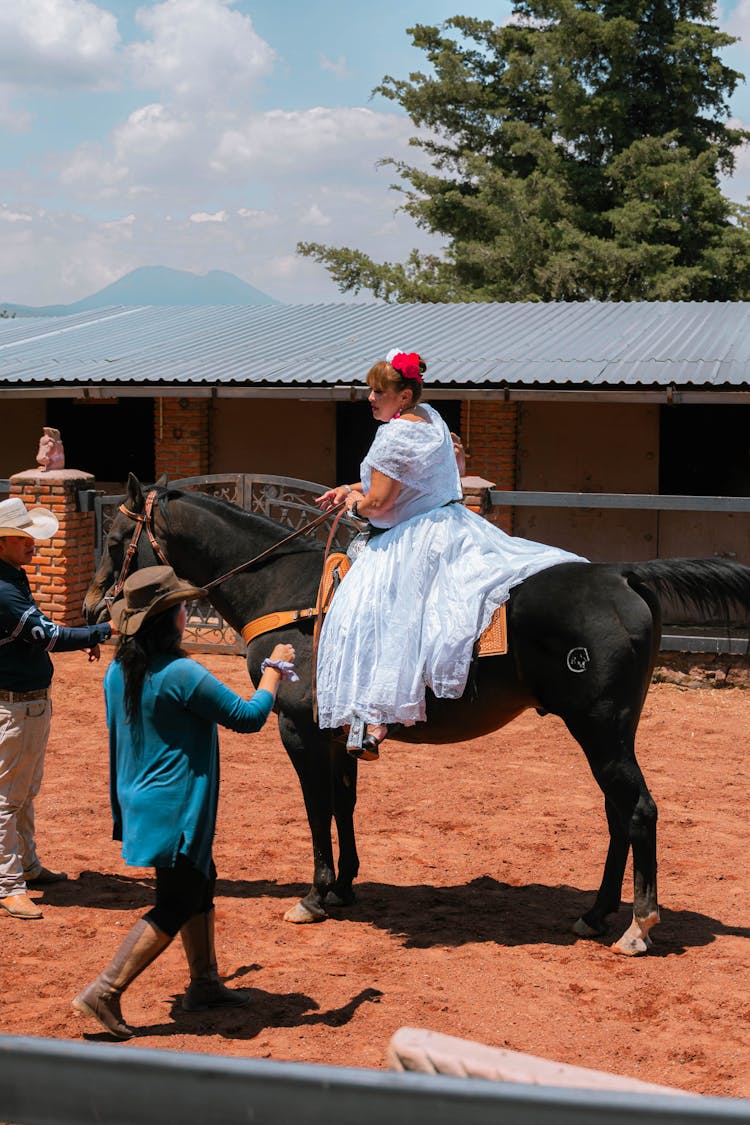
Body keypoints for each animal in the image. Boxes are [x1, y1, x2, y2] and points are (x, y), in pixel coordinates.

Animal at [83, 474, 750, 958]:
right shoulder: (335, 730)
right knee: (618, 814)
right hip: (609, 731)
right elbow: (344, 802)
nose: (93, 607)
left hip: (601, 728)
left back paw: (638, 926)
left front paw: (315, 894)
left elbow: (317, 807)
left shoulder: (298, 729)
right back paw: (595, 913)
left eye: (116, 542)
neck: (288, 591)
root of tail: (621, 572)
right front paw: (345, 885)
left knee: (638, 810)